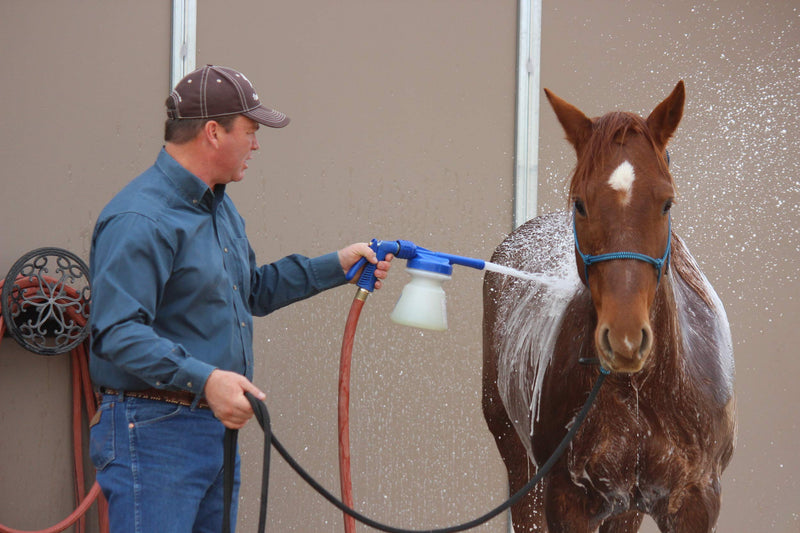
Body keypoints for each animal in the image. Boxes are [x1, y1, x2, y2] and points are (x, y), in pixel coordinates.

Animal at [484, 81, 736, 528]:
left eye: (666, 202)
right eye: (580, 202)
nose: (625, 339)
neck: (643, 390)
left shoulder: (694, 502)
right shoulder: (566, 500)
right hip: (519, 462)